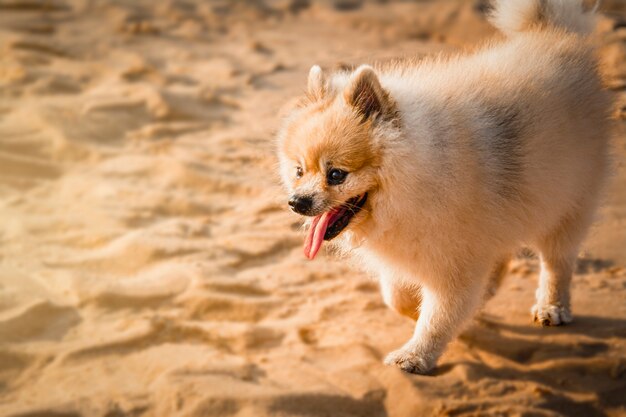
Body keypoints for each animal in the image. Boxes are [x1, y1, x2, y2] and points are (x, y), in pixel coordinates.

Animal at [276, 0, 612, 372]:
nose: (297, 202)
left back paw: (552, 306)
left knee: (557, 260)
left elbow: (439, 314)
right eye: (299, 171)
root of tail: (553, 34)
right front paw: (432, 316)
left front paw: (415, 356)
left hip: (567, 200)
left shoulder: (455, 259)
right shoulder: (420, 246)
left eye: (336, 174)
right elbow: (397, 297)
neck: (420, 172)